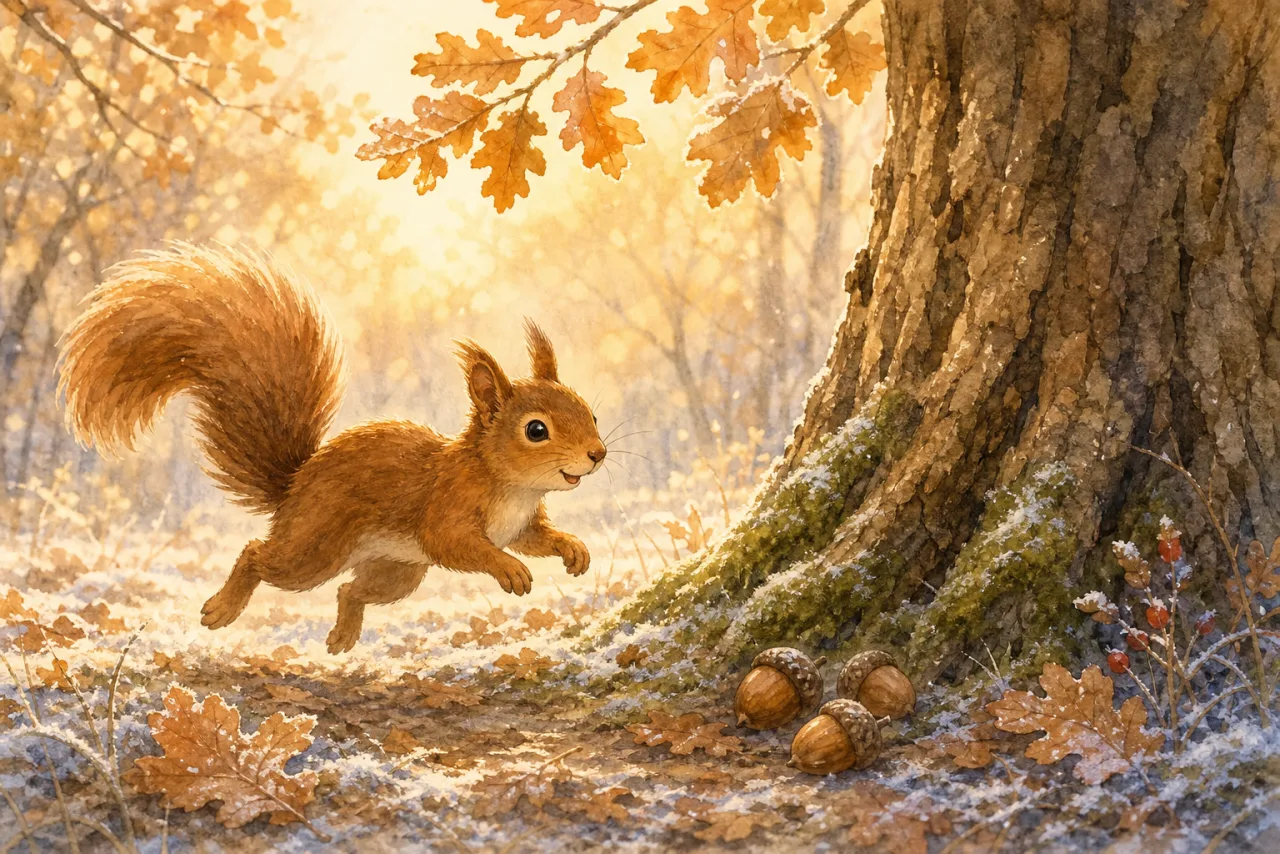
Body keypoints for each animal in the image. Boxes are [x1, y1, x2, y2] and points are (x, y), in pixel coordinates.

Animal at [57, 243, 606, 653]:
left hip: (397, 570)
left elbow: (536, 538)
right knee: (258, 555)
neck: (511, 485)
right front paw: (509, 568)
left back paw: (343, 634)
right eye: (536, 430)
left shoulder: (520, 522)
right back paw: (224, 607)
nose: (598, 454)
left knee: (350, 590)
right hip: (315, 547)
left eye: (592, 414)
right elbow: (460, 542)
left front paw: (572, 548)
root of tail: (296, 486)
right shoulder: (446, 507)